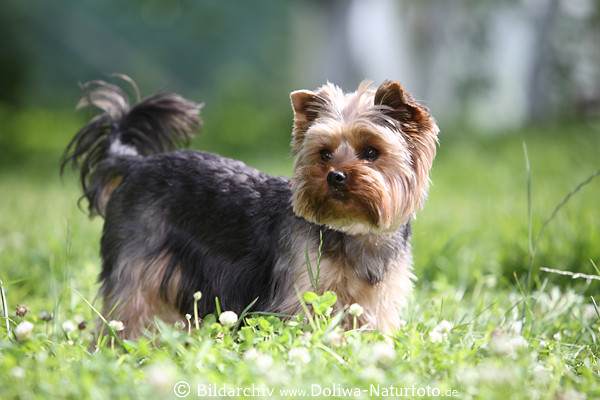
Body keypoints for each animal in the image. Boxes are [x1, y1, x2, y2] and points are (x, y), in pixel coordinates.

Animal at [61, 75, 438, 338]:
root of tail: (134, 164)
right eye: (324, 153)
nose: (336, 177)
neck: (353, 232)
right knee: (125, 314)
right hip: (136, 266)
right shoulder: (300, 293)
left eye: (372, 152)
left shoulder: (375, 304)